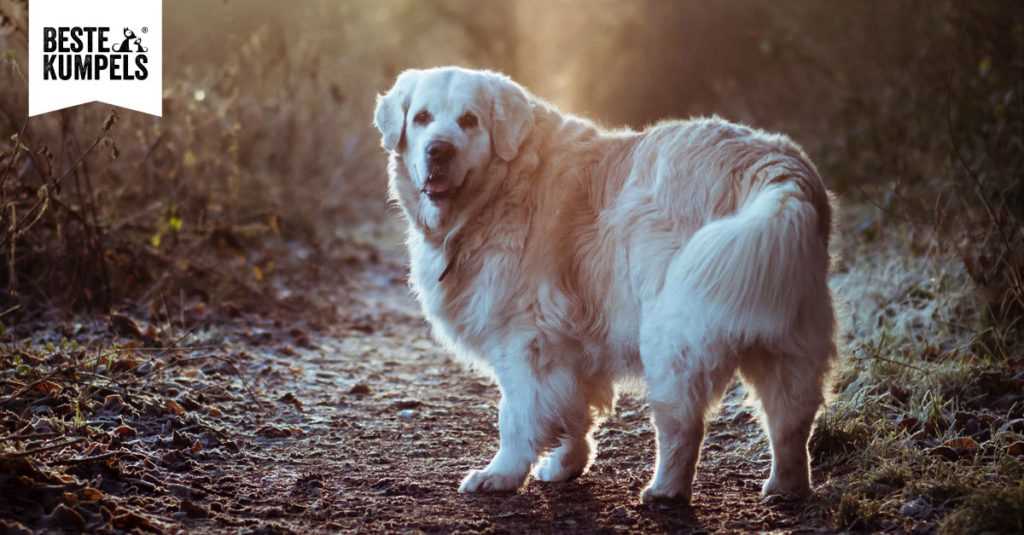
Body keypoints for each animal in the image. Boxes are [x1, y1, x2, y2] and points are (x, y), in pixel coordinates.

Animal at [372, 65, 835, 500]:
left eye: (469, 120)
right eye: (421, 117)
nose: (438, 150)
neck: (499, 190)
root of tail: (778, 171)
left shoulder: (527, 341)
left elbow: (517, 416)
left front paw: (501, 475)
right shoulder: (570, 345)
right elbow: (574, 412)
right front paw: (566, 465)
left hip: (674, 336)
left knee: (682, 424)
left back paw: (665, 490)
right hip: (786, 335)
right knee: (791, 420)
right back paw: (785, 487)